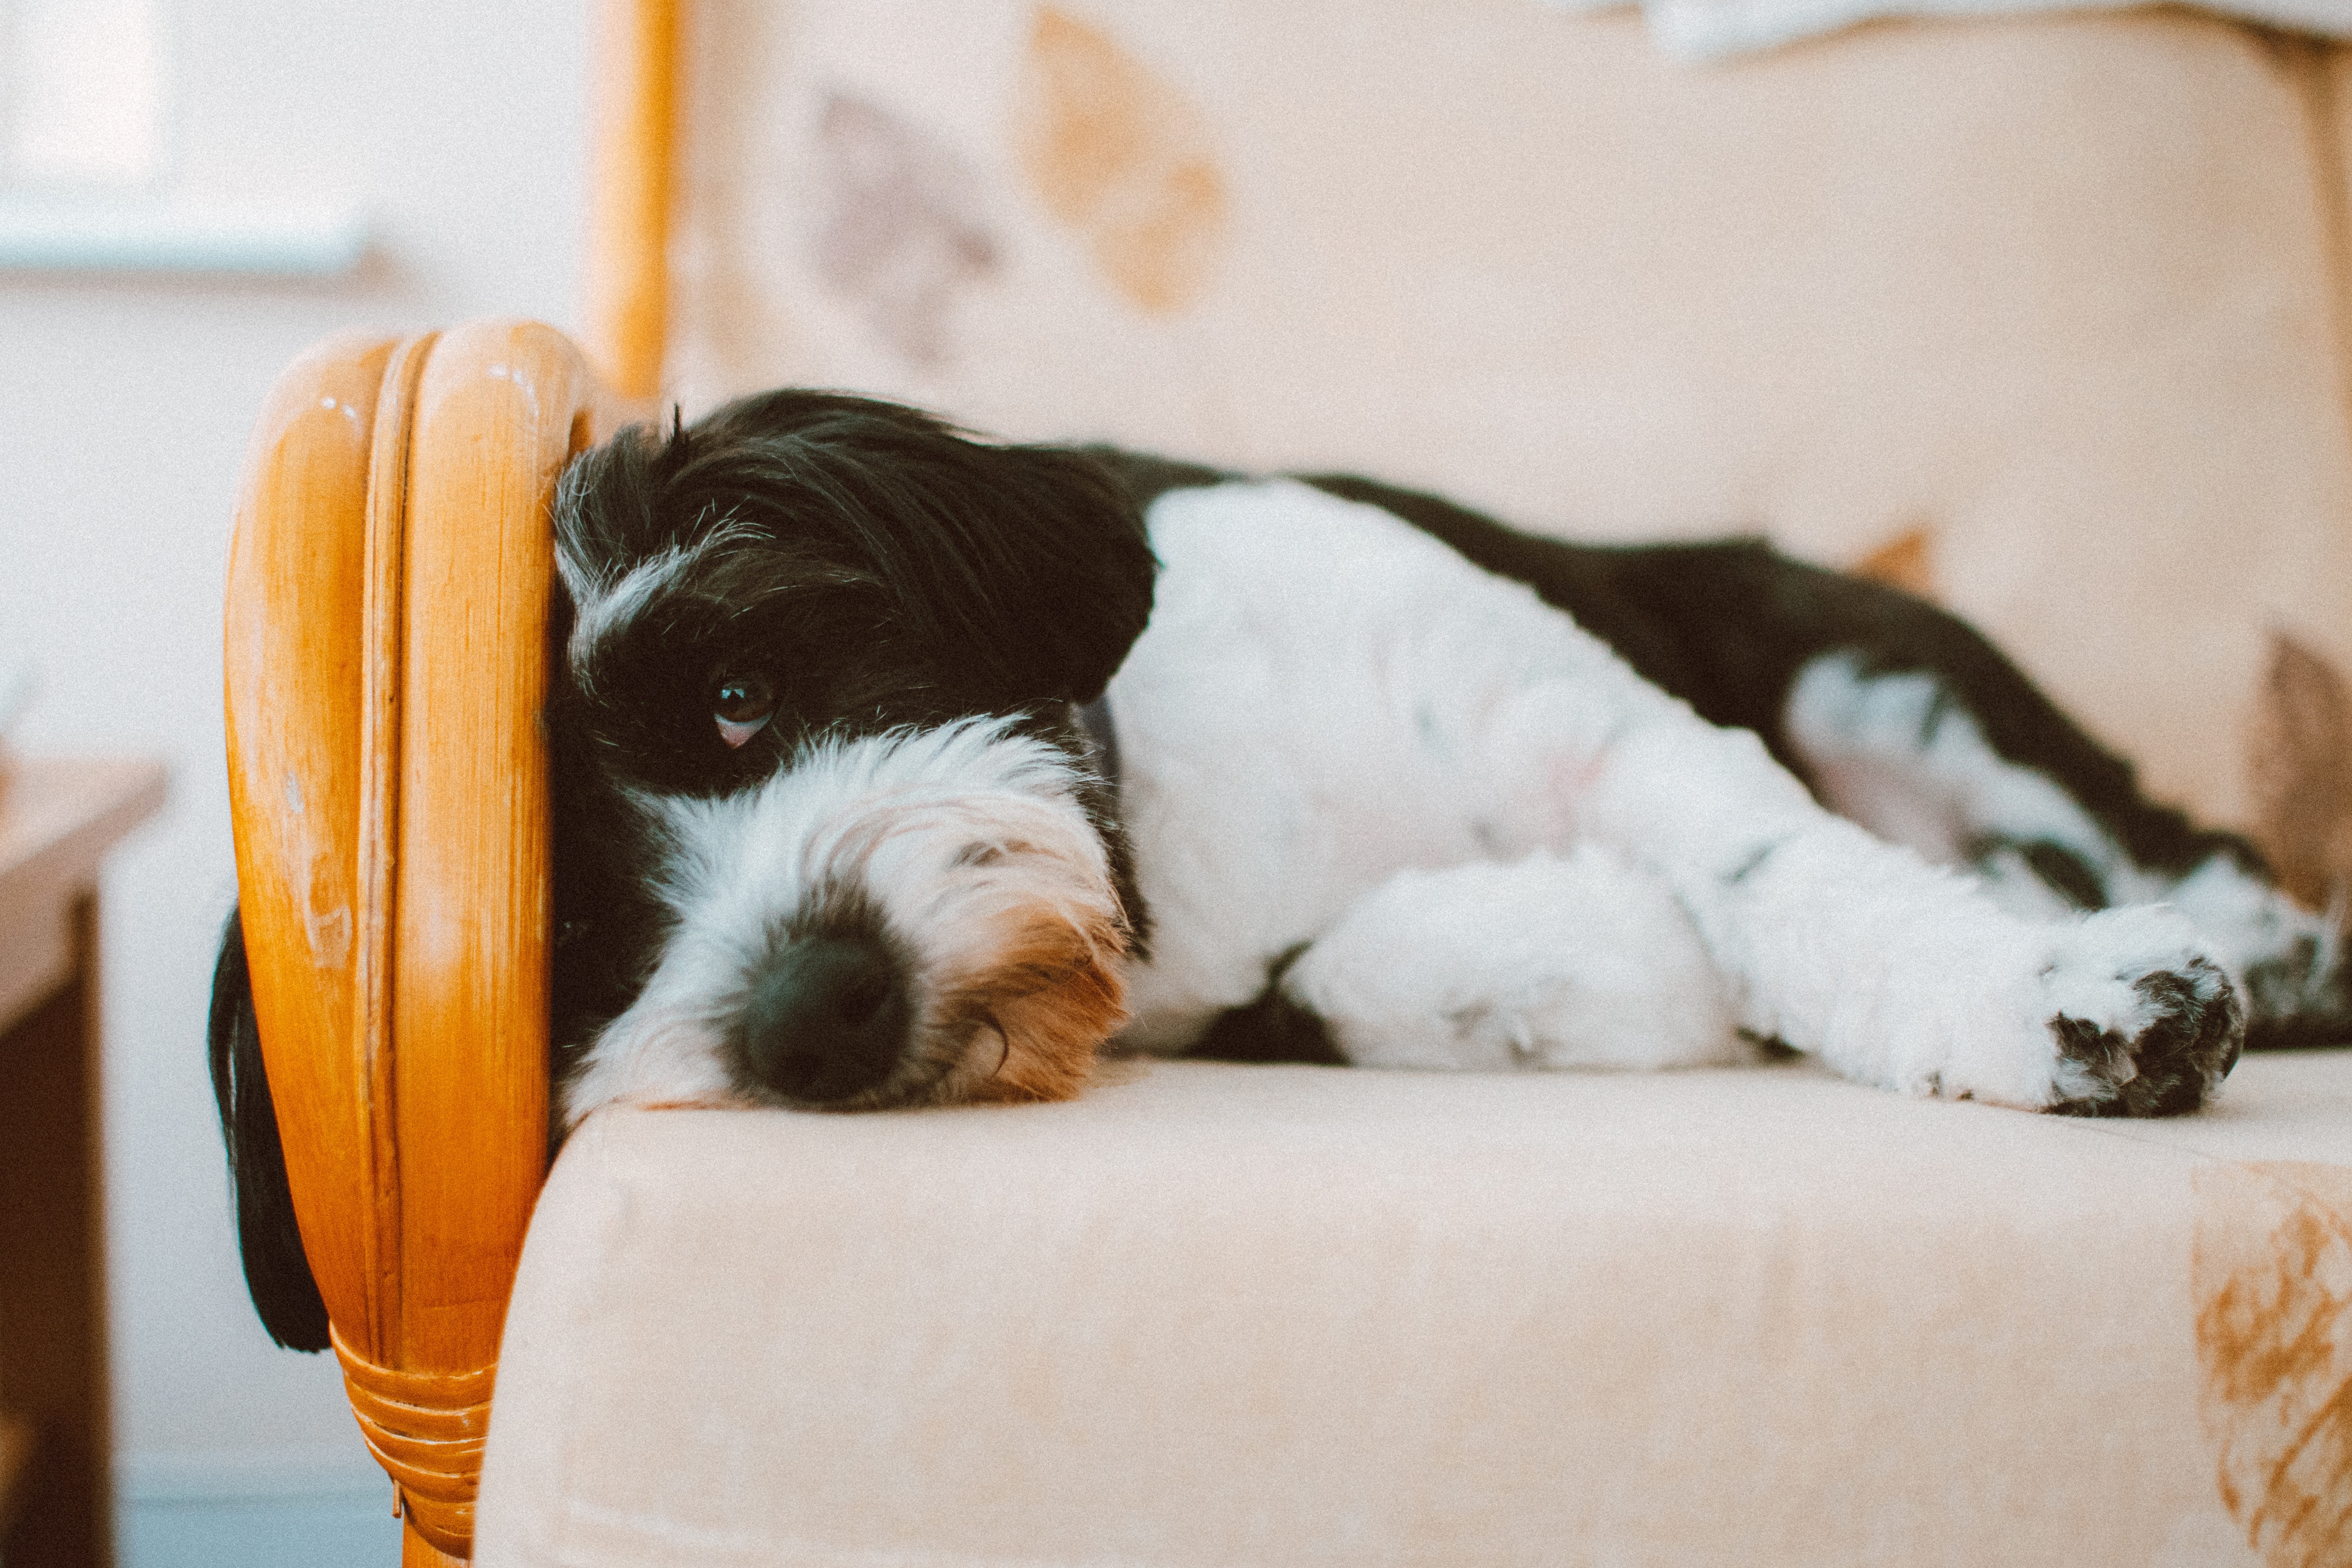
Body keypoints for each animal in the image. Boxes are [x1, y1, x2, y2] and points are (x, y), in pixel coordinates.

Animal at [212, 390, 2343, 1354]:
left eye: (738, 693)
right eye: (580, 935)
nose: (816, 1012)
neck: (1190, 810)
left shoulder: (1571, 715)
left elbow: (1781, 873)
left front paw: (2041, 996)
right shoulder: (1248, 976)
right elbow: (1397, 968)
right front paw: (1610, 959)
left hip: (1873, 663)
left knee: (2172, 829)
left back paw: (2251, 936)